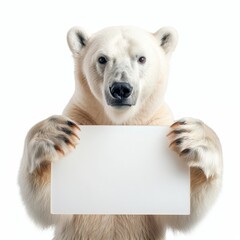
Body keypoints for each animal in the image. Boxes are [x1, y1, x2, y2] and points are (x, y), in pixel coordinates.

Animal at [18, 25, 223, 239]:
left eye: (141, 58)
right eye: (102, 59)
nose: (121, 88)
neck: (119, 122)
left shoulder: (156, 121)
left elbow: (180, 210)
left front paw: (194, 138)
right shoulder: (81, 117)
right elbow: (48, 206)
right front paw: (53, 134)